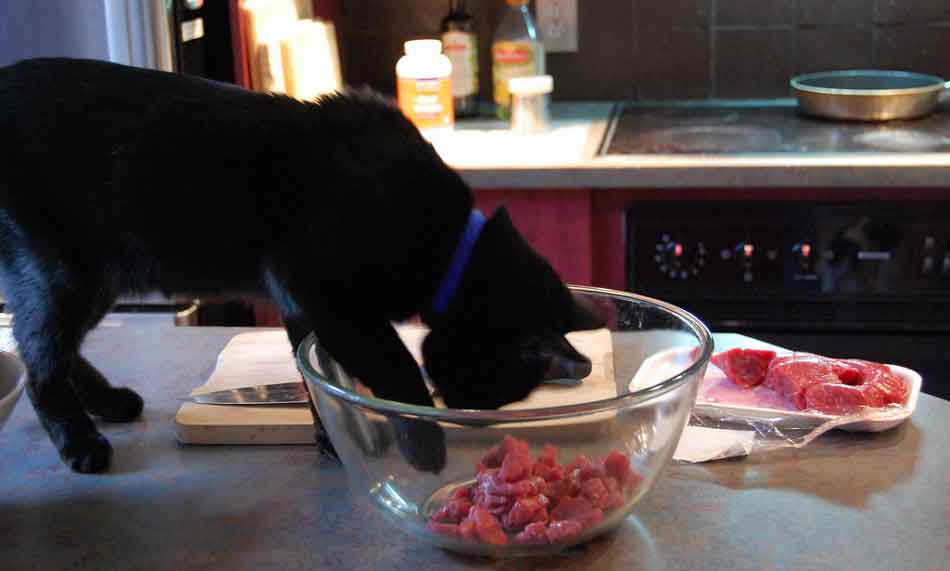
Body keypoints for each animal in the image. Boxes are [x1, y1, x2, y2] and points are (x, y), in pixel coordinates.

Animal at [0, 58, 604, 476]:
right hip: (65, 272)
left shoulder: (306, 309)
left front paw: (338, 440)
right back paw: (81, 443)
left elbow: (319, 377)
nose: (456, 407)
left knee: (53, 350)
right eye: (489, 387)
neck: (448, 248)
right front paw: (420, 443)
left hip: (98, 277)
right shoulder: (319, 290)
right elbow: (393, 366)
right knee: (39, 364)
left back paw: (110, 403)